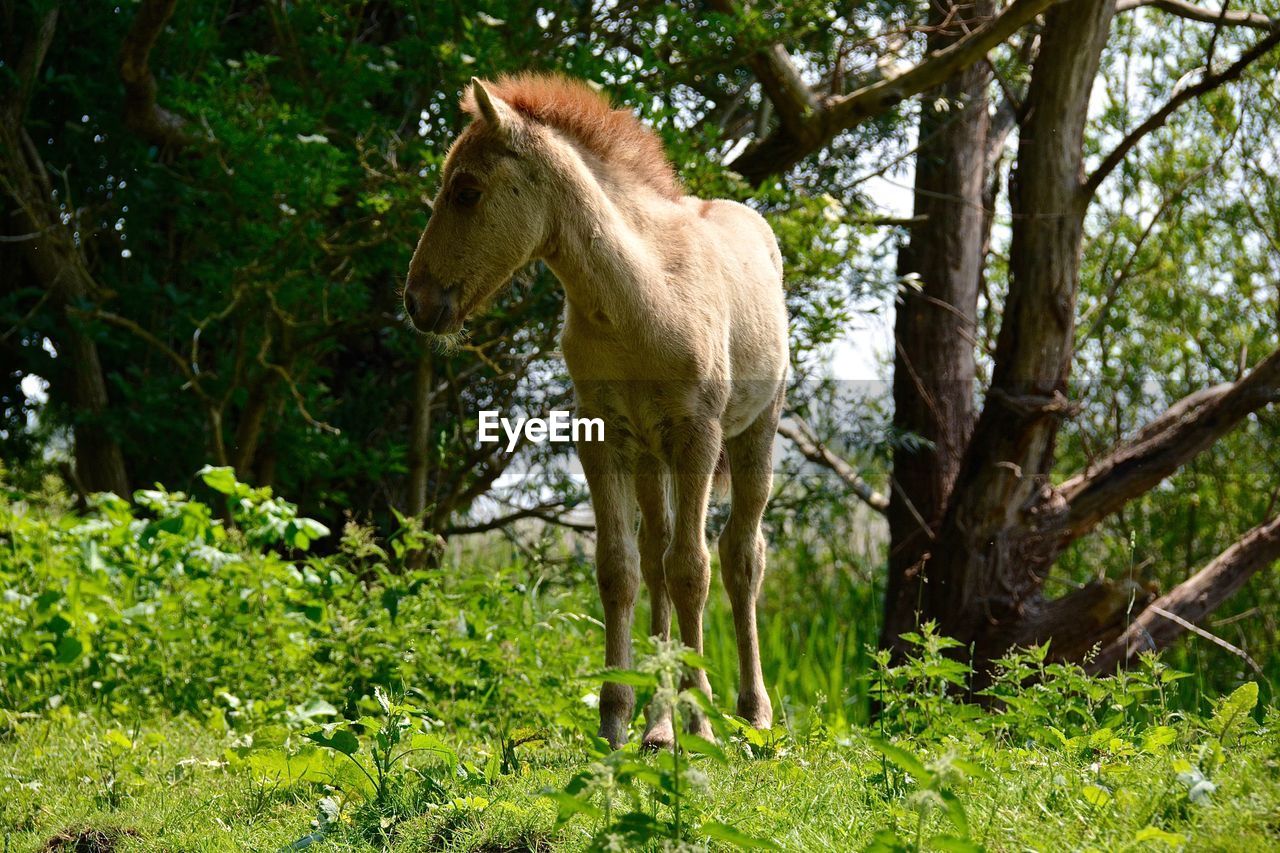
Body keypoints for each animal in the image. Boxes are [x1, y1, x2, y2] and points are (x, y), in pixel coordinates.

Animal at [407, 76, 788, 747]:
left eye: (466, 190)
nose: (416, 301)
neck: (640, 300)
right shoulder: (604, 437)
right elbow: (620, 570)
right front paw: (617, 719)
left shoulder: (697, 436)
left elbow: (693, 570)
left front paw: (698, 721)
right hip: (650, 458)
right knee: (657, 558)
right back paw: (659, 724)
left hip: (753, 433)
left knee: (742, 557)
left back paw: (751, 715)